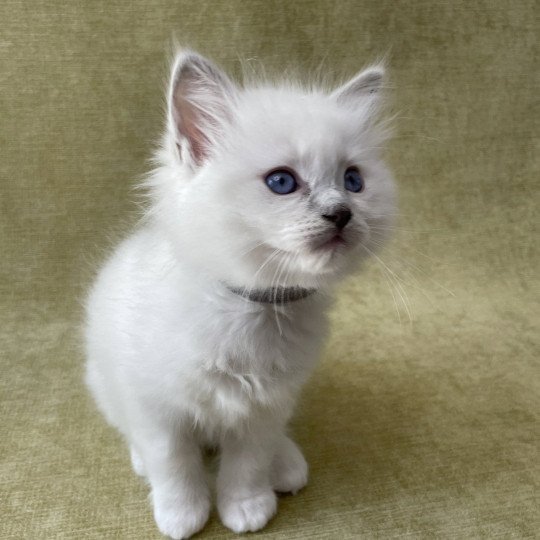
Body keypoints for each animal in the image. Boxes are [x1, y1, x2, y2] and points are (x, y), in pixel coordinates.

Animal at [85, 48, 396, 536]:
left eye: (353, 181)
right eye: (282, 182)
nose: (342, 213)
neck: (255, 308)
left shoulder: (265, 407)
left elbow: (247, 464)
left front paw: (246, 508)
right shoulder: (157, 407)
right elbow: (174, 462)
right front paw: (182, 514)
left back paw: (286, 464)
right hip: (105, 384)